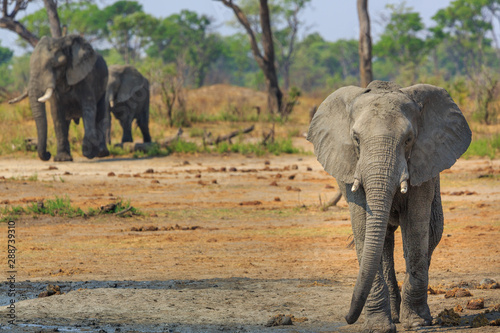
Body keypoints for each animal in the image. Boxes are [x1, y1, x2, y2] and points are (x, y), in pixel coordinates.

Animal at [28, 33, 109, 161]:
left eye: (55, 65)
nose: (48, 154)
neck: (62, 42)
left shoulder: (86, 77)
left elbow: (89, 109)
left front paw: (88, 153)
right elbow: (57, 113)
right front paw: (61, 159)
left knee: (100, 113)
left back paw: (101, 153)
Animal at [306, 80, 470, 332]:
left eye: (408, 139)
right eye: (356, 139)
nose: (347, 318)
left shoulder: (423, 163)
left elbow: (416, 227)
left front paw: (417, 323)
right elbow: (364, 227)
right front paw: (379, 327)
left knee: (431, 234)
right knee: (383, 242)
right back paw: (394, 314)